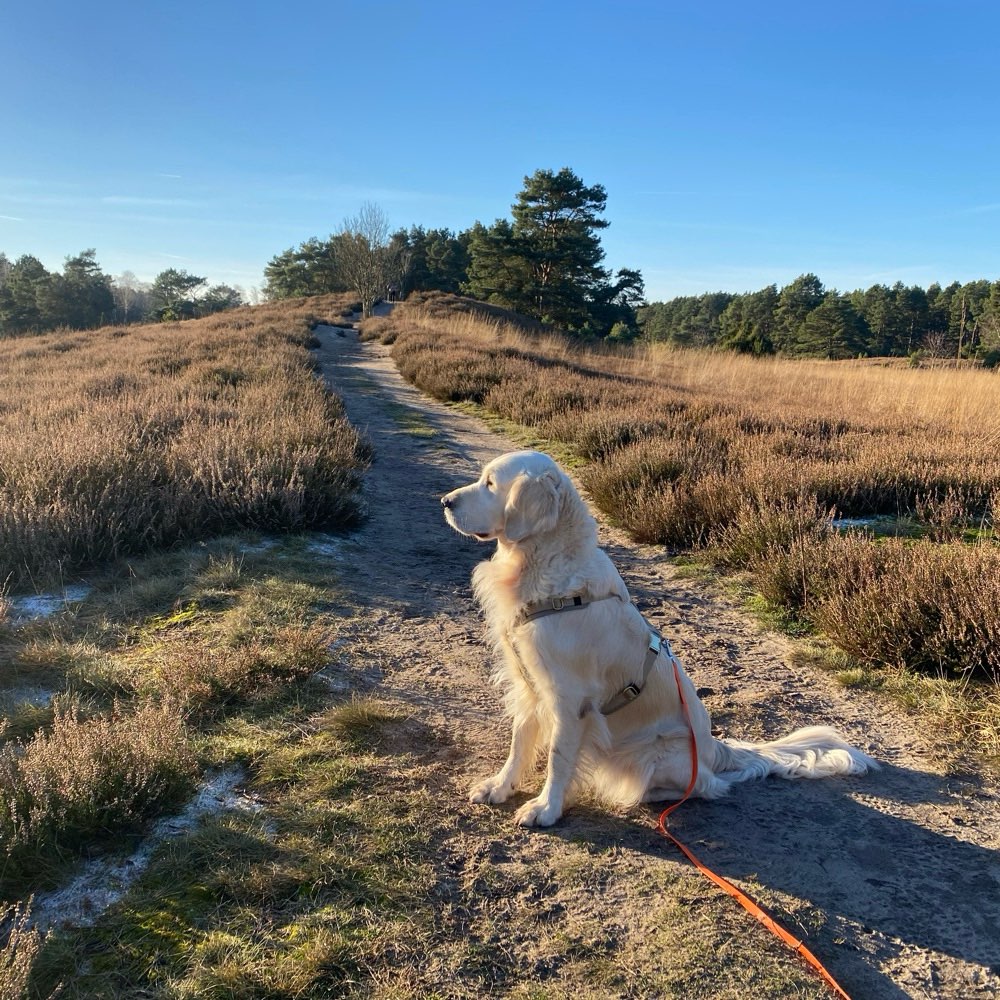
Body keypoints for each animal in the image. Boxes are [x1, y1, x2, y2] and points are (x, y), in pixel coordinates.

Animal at [442, 454, 872, 828]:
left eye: (491, 483)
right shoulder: (528, 684)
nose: (445, 502)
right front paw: (501, 787)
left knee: (705, 787)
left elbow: (559, 758)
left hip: (656, 755)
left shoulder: (570, 699)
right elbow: (519, 744)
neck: (543, 570)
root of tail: (716, 749)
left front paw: (546, 808)